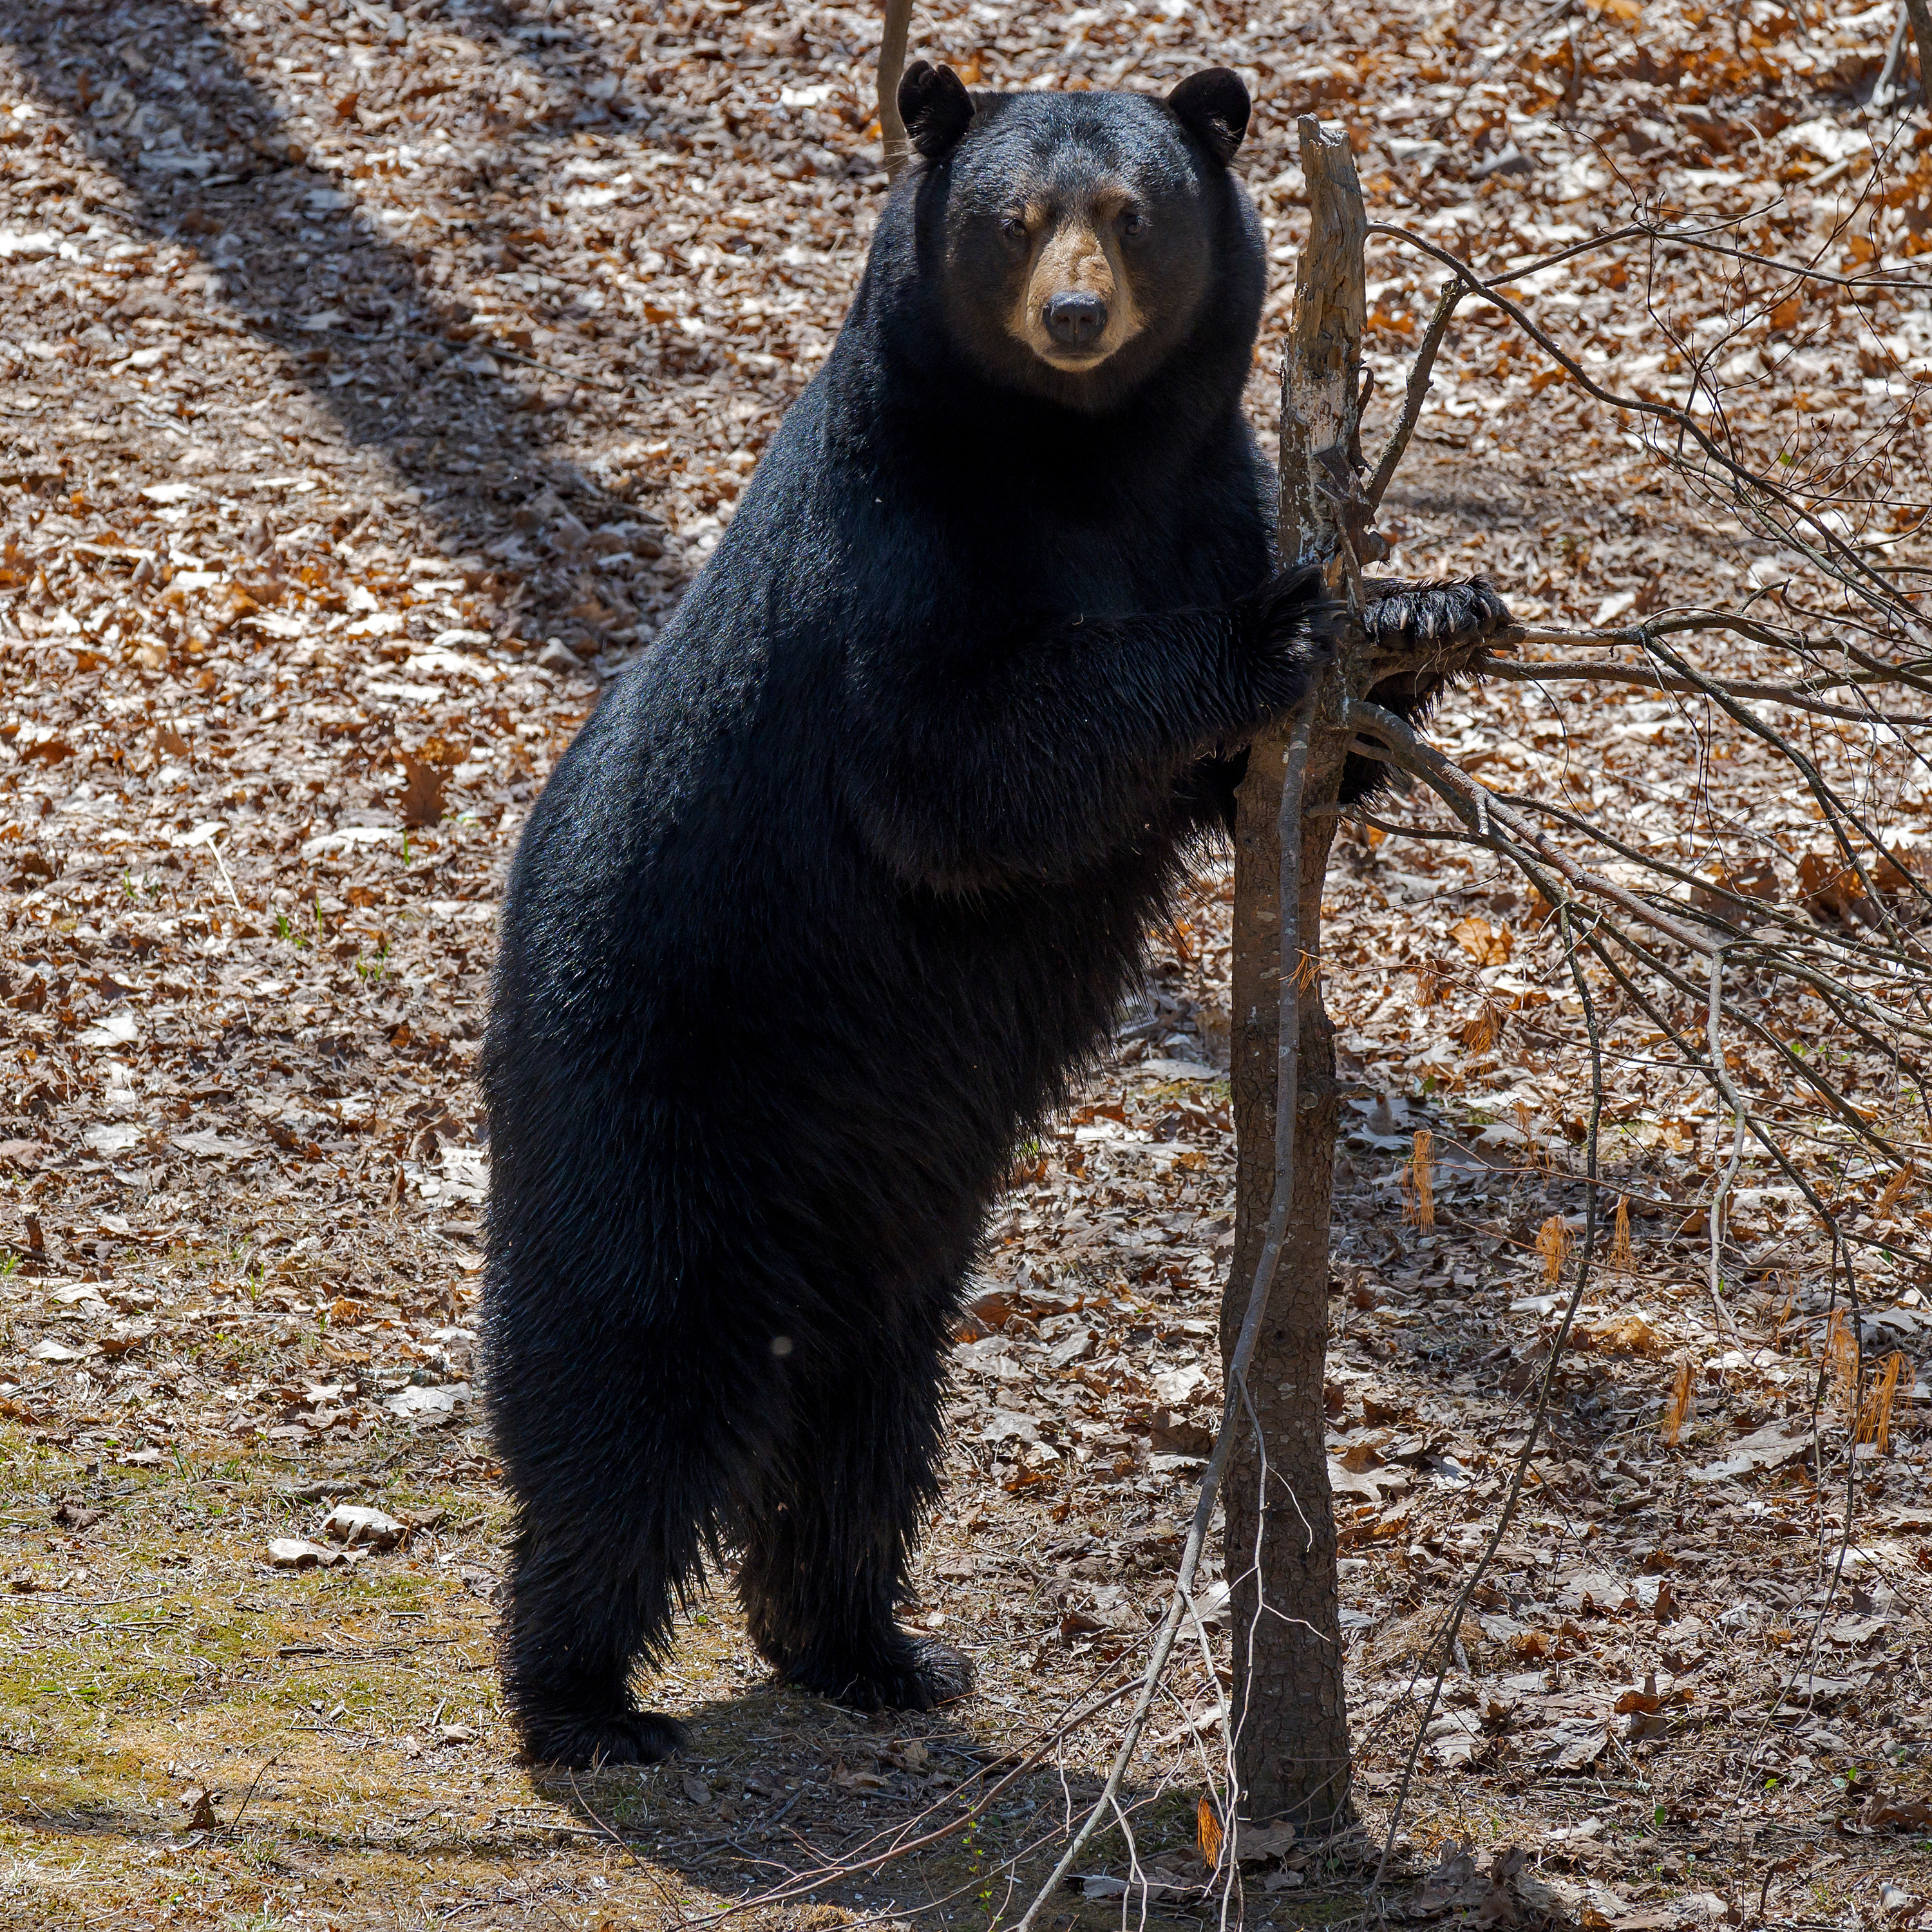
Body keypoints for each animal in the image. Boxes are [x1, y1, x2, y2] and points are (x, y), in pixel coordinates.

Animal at [483, 56, 1507, 1770]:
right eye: (1017, 218)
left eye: (1135, 211)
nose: (1077, 314)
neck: (1080, 459)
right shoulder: (897, 542)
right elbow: (958, 760)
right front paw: (1279, 626)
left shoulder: (1203, 494)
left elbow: (1256, 773)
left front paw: (1431, 606)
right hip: (650, 1088)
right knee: (631, 1383)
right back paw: (584, 1693)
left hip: (887, 1222)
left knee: (863, 1417)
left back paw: (867, 1643)